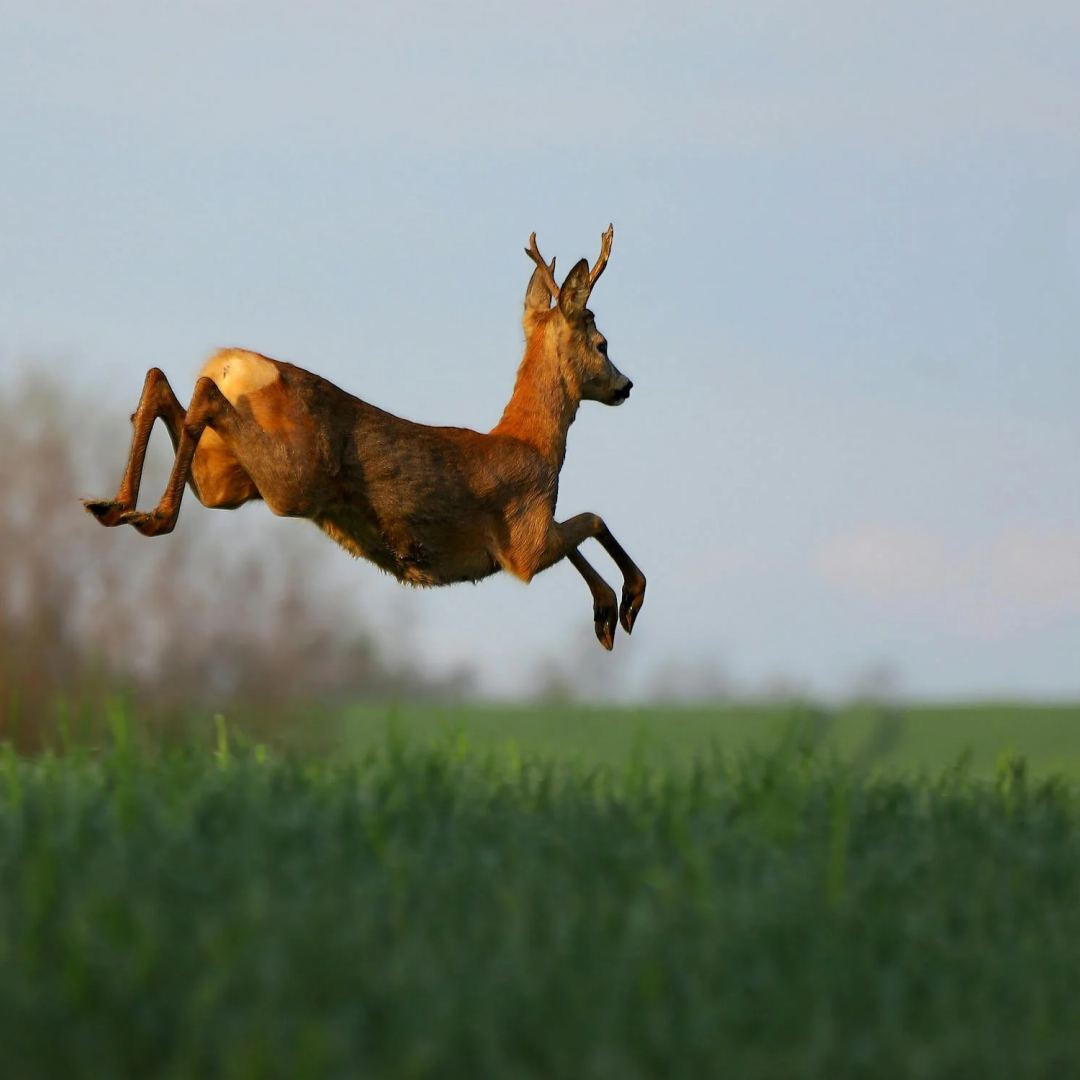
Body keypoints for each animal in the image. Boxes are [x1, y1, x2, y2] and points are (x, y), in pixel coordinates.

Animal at [84, 225, 643, 648]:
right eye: (602, 343)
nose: (626, 386)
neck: (533, 443)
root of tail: (235, 363)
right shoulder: (524, 543)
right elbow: (592, 519)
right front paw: (625, 603)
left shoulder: (535, 536)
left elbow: (582, 529)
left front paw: (607, 613)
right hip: (291, 479)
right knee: (200, 393)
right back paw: (151, 515)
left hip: (228, 480)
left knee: (163, 381)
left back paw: (116, 506)